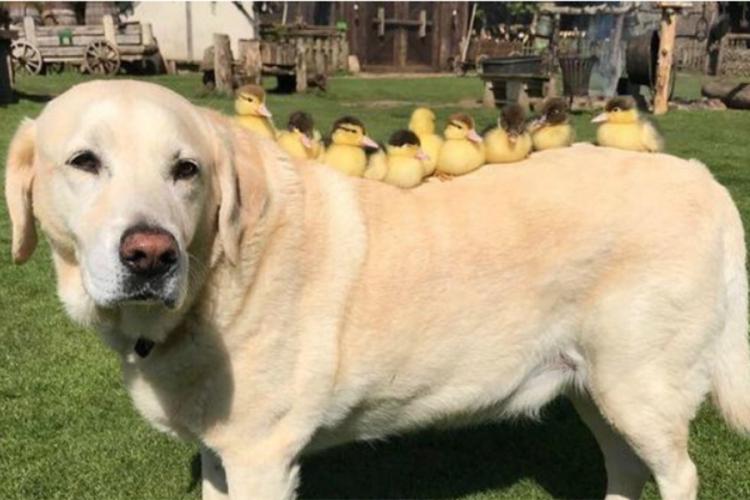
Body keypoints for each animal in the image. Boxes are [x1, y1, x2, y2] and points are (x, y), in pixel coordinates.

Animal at [5, 80, 750, 498]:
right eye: (84, 162)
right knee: (626, 470)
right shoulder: (222, 455)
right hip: (598, 386)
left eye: (186, 169)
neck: (214, 274)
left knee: (676, 475)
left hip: (641, 388)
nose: (151, 255)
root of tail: (701, 176)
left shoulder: (260, 459)